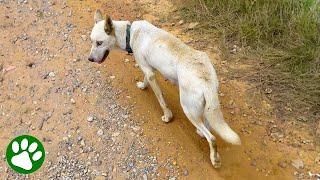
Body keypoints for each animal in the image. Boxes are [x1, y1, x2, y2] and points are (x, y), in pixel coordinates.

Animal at [87, 9, 240, 167]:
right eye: (91, 41)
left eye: (99, 43)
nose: (90, 59)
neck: (129, 33)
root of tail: (206, 80)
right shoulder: (149, 70)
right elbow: (145, 80)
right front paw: (143, 86)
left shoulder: (149, 72)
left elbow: (161, 100)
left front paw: (167, 116)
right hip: (206, 105)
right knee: (209, 125)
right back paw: (201, 133)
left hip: (188, 109)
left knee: (212, 137)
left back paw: (214, 158)